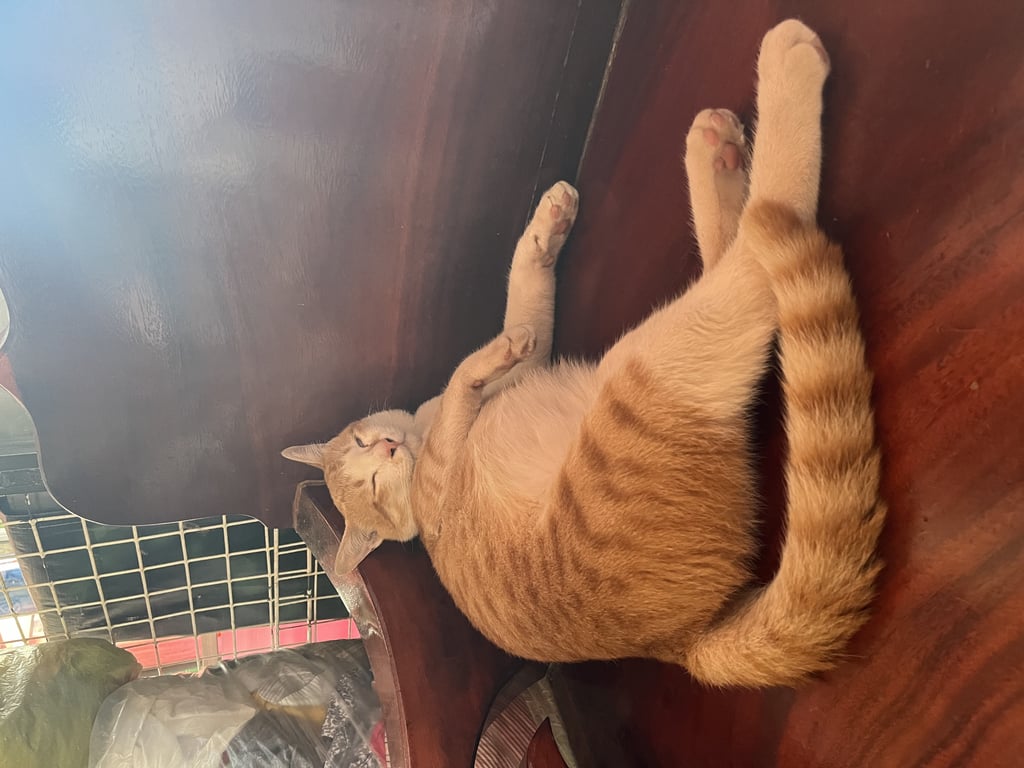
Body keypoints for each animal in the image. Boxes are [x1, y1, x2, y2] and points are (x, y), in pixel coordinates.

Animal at [283, 19, 886, 688]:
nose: (389, 448)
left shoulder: (529, 347)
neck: (422, 434)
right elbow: (476, 365)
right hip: (650, 362)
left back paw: (717, 152)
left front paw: (548, 226)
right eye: (374, 485)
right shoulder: (436, 483)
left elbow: (526, 286)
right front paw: (490, 354)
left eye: (364, 447)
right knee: (756, 251)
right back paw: (783, 72)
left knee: (730, 245)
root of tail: (682, 642)